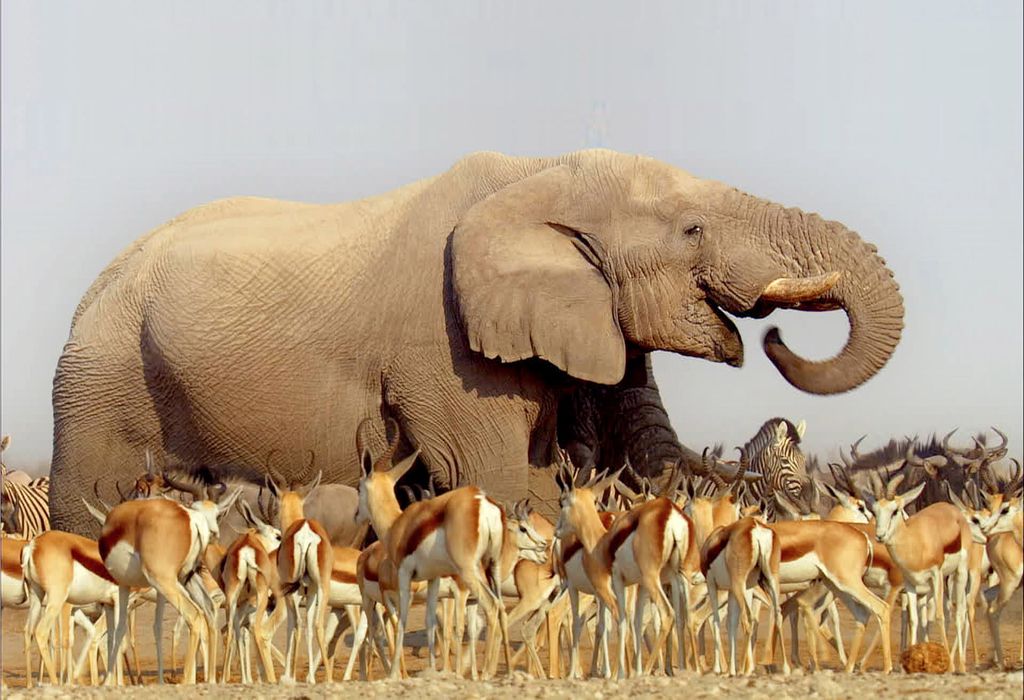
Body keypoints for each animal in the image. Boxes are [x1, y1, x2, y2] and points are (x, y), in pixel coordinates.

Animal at [49, 149, 904, 535]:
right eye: (692, 230)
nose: (775, 333)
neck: (537, 173)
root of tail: (93, 289)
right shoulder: (447, 351)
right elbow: (492, 478)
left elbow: (590, 469)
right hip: (100, 375)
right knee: (94, 501)